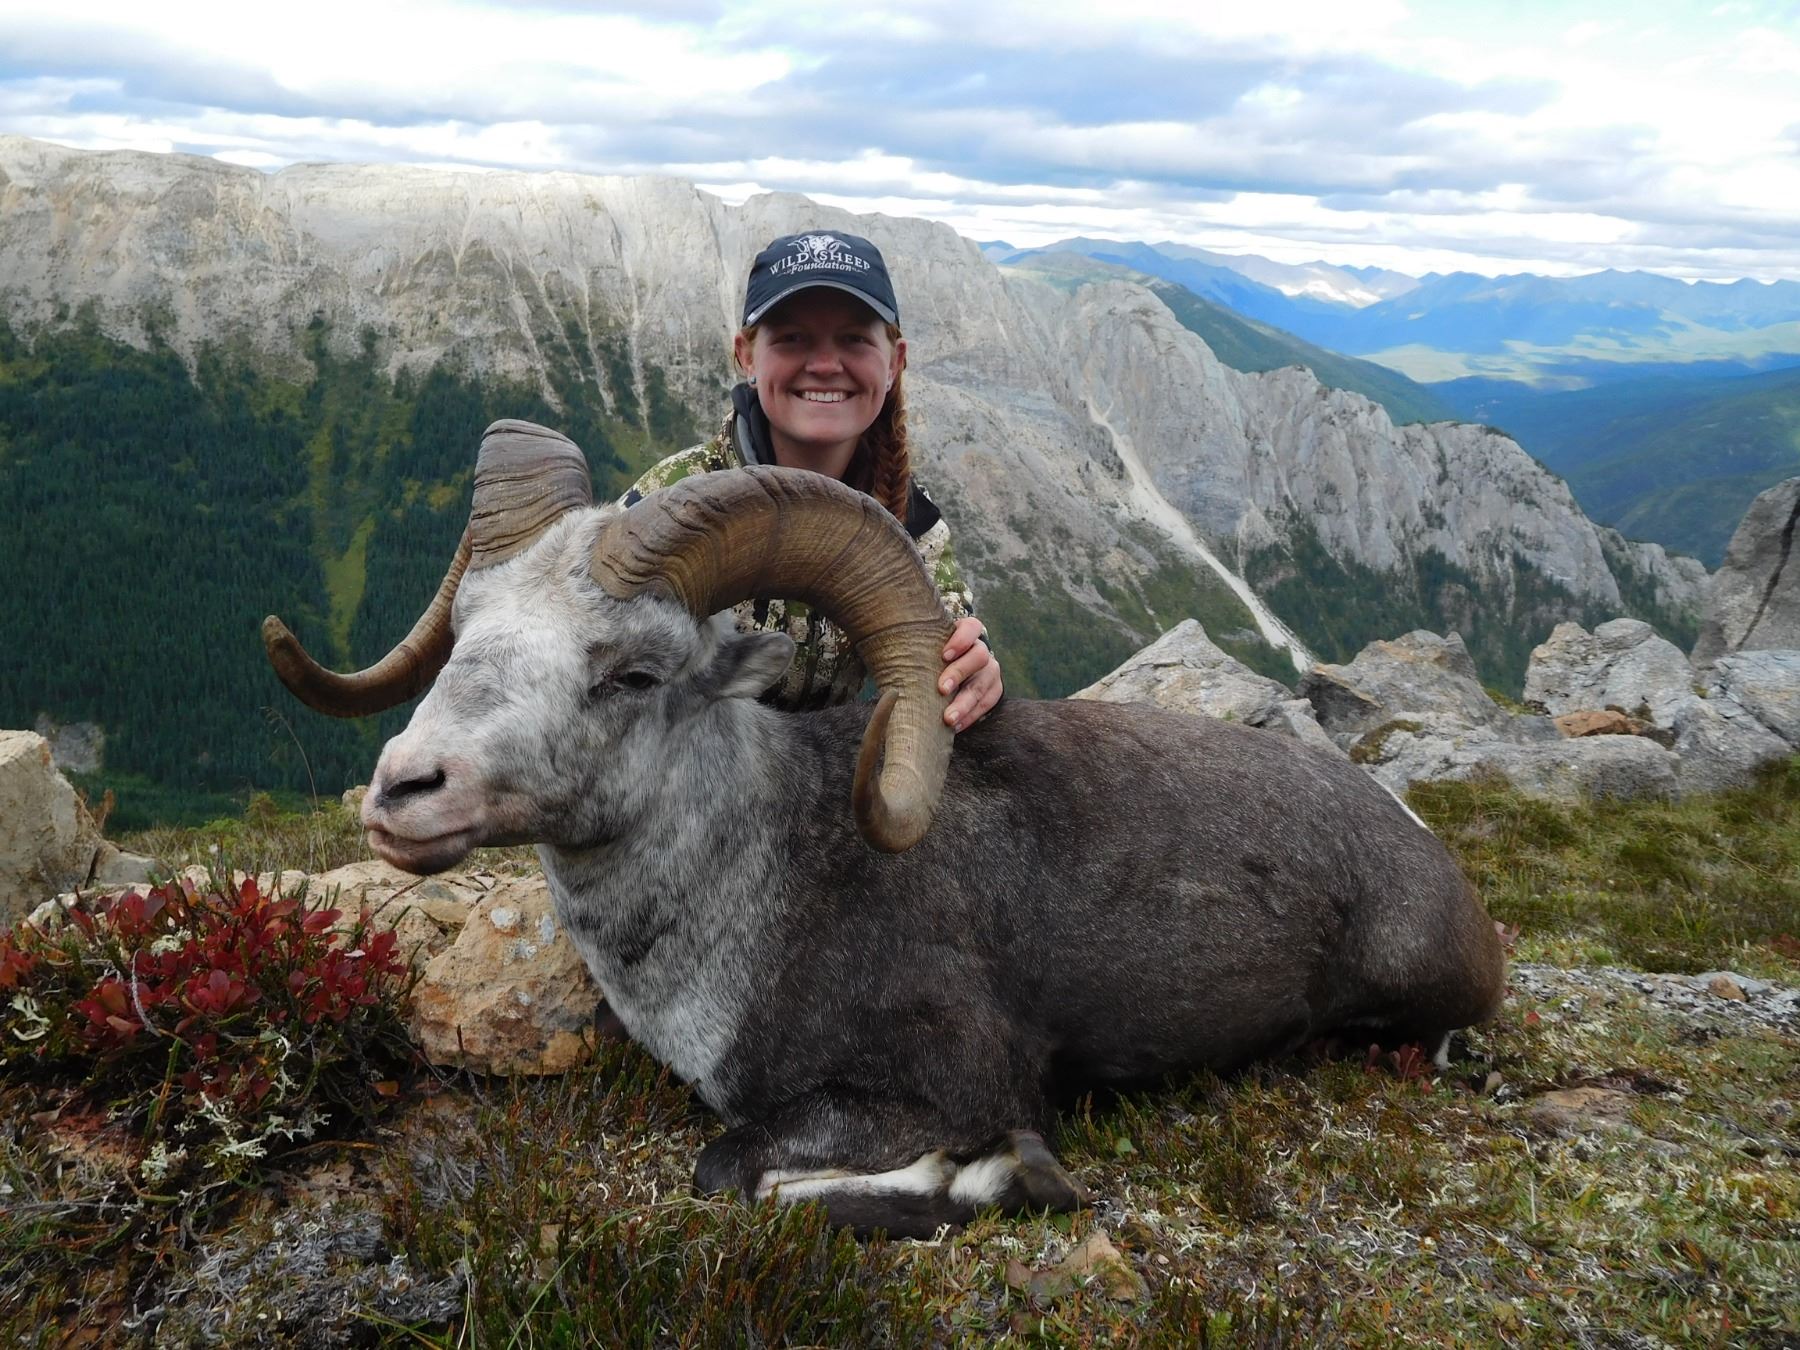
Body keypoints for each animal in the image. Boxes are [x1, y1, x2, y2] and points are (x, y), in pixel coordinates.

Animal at [264, 419, 1506, 1239]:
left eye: (633, 673)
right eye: (468, 626)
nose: (406, 790)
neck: (757, 897)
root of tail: (1431, 862)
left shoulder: (956, 1086)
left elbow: (738, 1170)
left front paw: (1011, 1182)